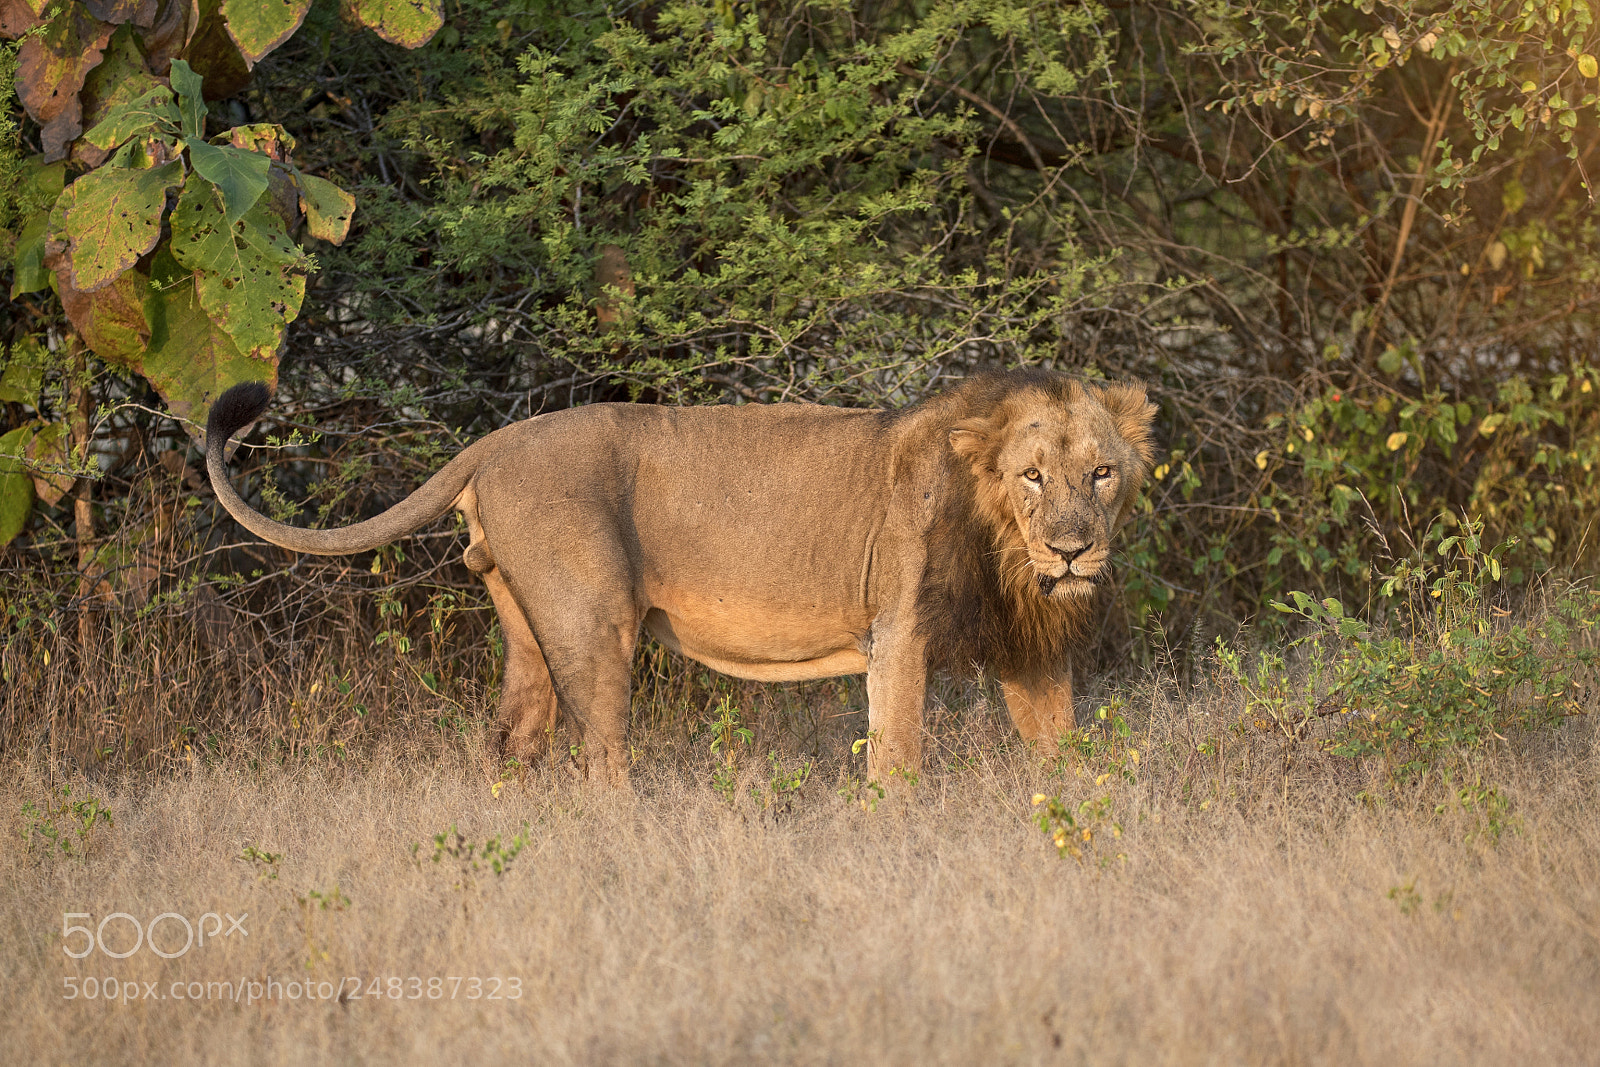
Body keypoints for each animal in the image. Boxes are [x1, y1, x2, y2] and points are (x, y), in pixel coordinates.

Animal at [205, 369, 1157, 785]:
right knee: (601, 758)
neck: (1006, 548)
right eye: (1031, 475)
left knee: (513, 739)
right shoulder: (898, 635)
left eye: (1102, 473)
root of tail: (493, 441)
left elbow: (1066, 755)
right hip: (591, 622)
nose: (1073, 551)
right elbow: (898, 762)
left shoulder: (1029, 652)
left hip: (523, 631)